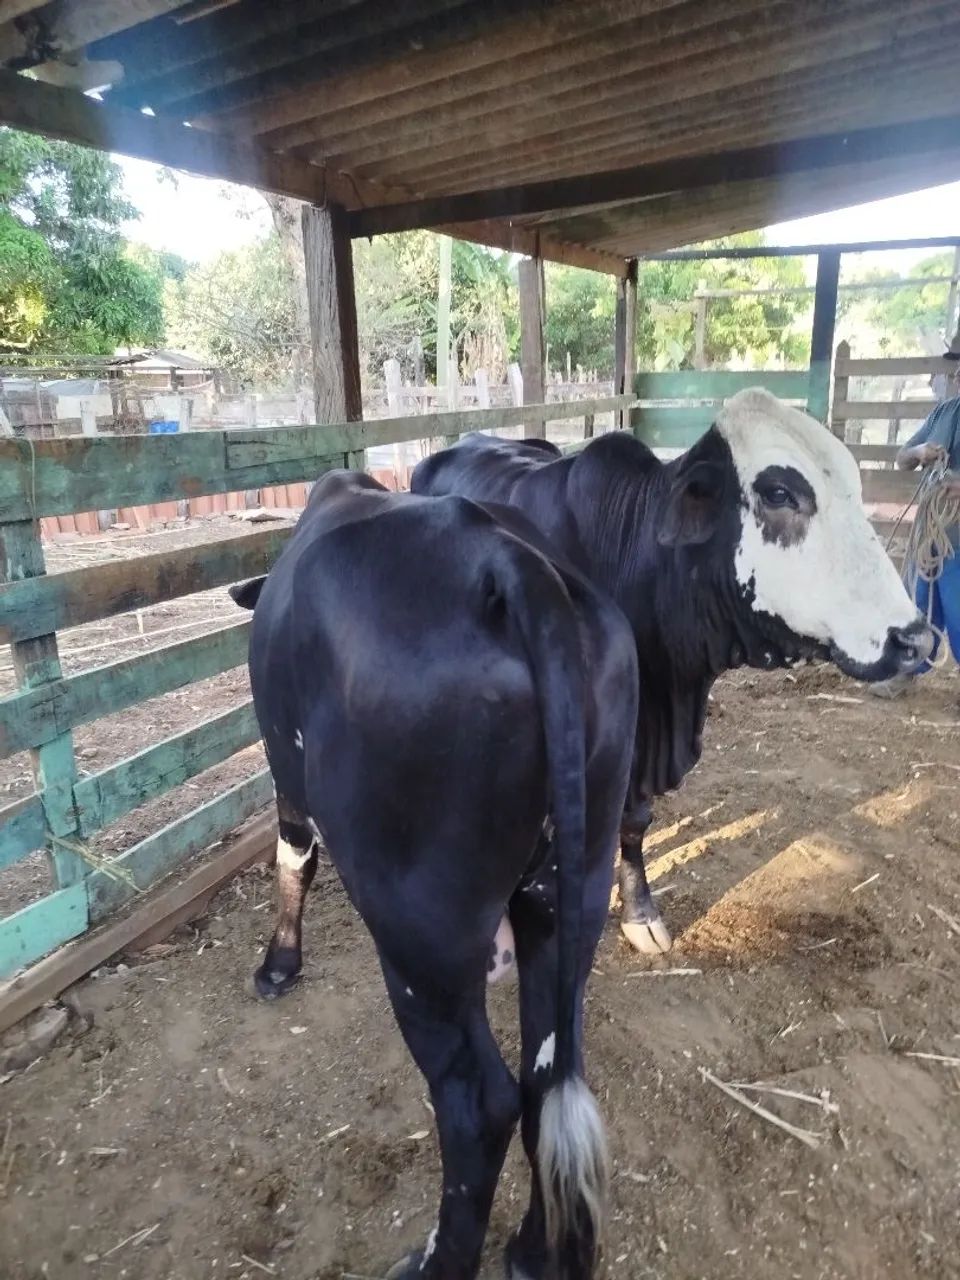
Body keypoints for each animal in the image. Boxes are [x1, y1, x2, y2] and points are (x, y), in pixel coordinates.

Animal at [229, 469, 638, 1280]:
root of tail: (510, 566)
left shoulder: (286, 775)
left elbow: (293, 857)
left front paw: (279, 963)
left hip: (420, 933)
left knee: (478, 1105)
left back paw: (439, 1260)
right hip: (570, 887)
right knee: (549, 1075)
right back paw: (538, 1252)